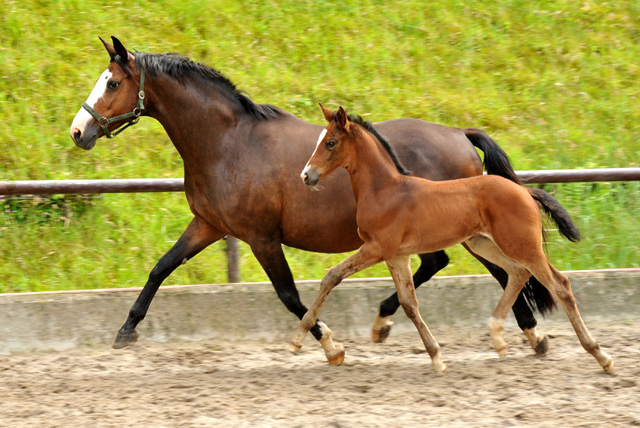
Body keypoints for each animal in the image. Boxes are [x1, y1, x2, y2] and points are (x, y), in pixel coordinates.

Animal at [288, 105, 608, 372]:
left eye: (330, 142)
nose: (306, 175)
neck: (385, 191)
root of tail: (524, 191)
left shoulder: (377, 248)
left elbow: (332, 275)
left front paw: (297, 340)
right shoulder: (397, 256)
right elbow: (409, 303)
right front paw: (436, 357)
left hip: (521, 244)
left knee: (558, 284)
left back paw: (600, 355)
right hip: (484, 243)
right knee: (518, 274)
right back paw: (498, 337)